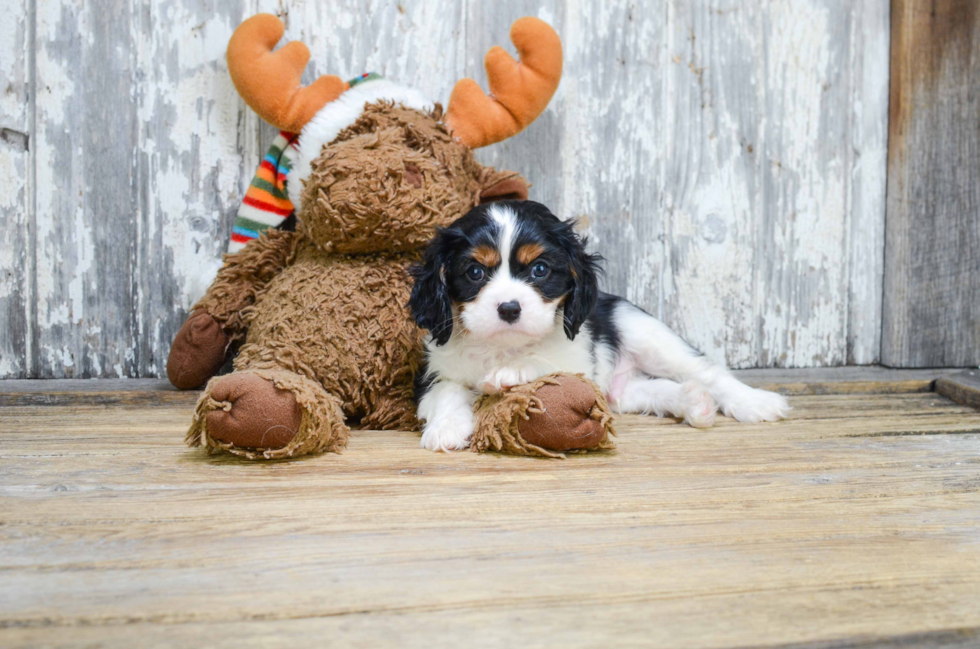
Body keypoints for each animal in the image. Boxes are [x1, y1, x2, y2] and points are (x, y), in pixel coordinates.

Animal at [408, 201, 788, 450]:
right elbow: (446, 391)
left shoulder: (576, 358)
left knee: (708, 373)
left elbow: (545, 361)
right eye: (474, 272)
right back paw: (694, 402)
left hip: (646, 335)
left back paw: (755, 402)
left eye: (540, 270)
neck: (505, 345)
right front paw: (446, 428)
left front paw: (511, 372)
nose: (509, 308)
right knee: (647, 391)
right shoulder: (434, 370)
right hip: (619, 390)